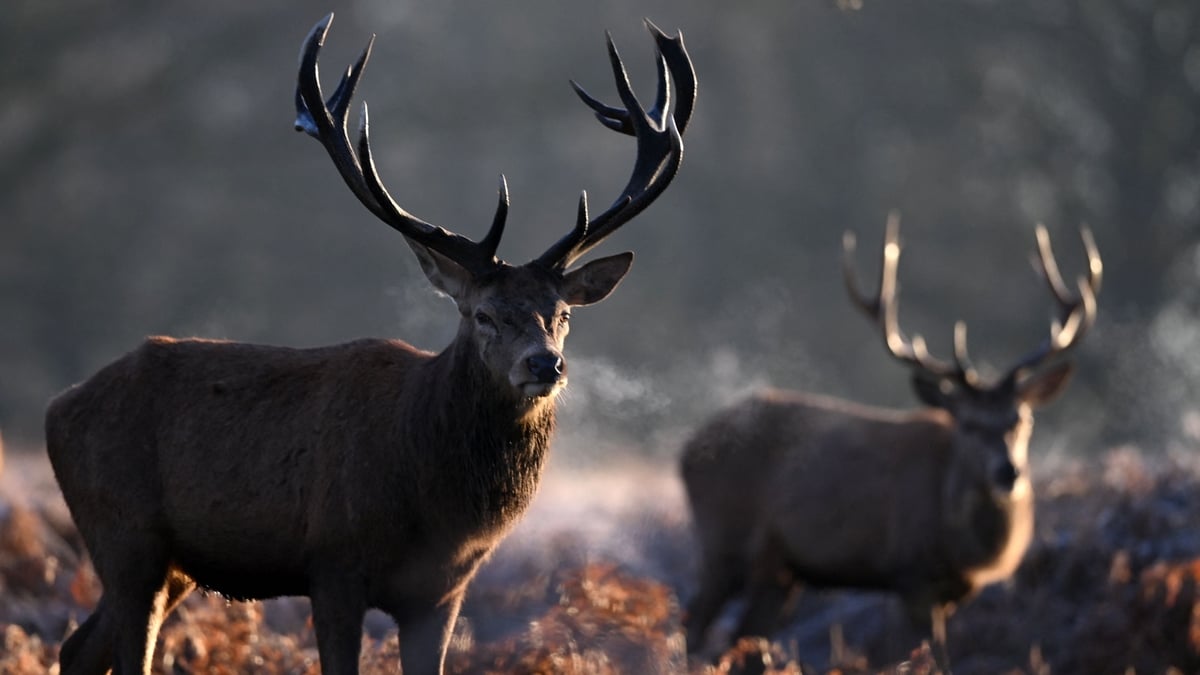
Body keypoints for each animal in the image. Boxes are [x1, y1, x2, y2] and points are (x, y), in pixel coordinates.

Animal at [44, 13, 695, 675]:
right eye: (482, 314)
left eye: (562, 314)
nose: (546, 363)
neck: (435, 509)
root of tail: (58, 407)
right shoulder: (333, 562)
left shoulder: (444, 590)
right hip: (125, 535)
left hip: (173, 562)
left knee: (79, 647)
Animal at [680, 213, 1101, 670]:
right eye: (968, 424)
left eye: (1021, 418)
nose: (1008, 471)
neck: (965, 550)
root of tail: (686, 449)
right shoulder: (911, 575)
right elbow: (930, 656)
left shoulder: (952, 593)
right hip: (721, 538)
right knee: (692, 622)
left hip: (779, 571)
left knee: (745, 637)